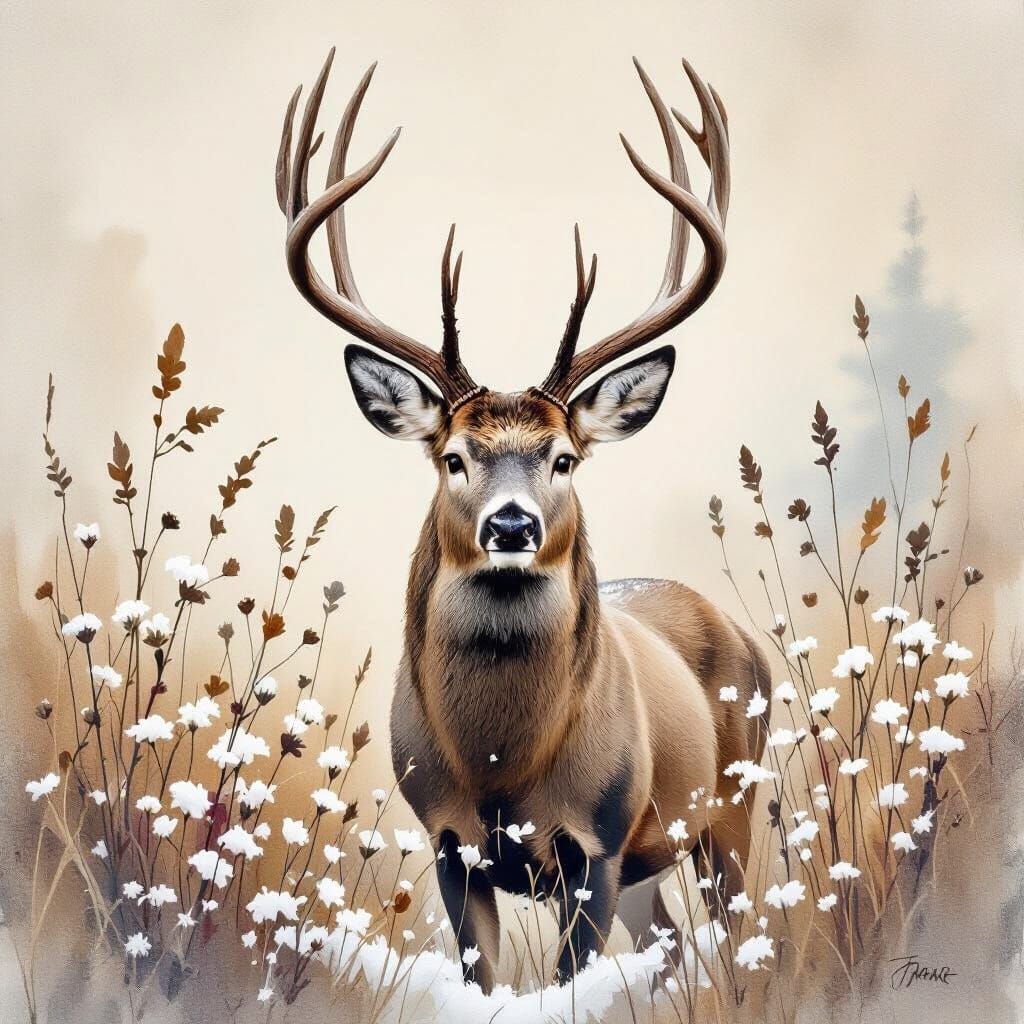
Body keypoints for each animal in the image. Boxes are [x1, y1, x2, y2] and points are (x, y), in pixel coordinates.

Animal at [276, 49, 770, 992]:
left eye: (564, 458)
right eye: (453, 456)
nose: (512, 528)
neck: (504, 768)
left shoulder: (598, 842)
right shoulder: (447, 839)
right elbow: (486, 980)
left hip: (729, 808)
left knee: (748, 934)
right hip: (657, 865)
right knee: (673, 943)